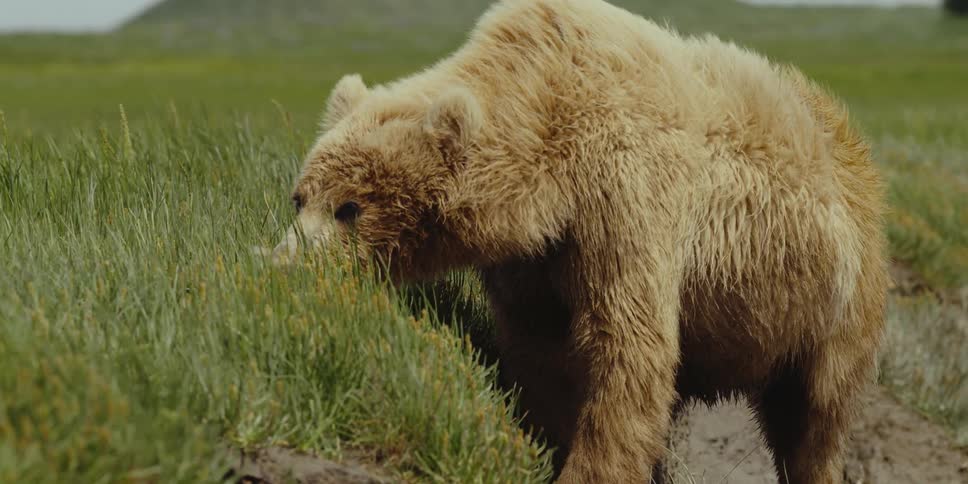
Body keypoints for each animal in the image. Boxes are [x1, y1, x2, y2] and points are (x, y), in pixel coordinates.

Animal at [267, 0, 888, 482]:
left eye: (351, 208)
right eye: (301, 197)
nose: (286, 265)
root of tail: (847, 135)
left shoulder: (624, 197)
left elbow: (628, 348)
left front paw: (588, 468)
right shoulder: (535, 259)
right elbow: (539, 354)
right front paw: (546, 438)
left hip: (831, 304)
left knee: (814, 417)